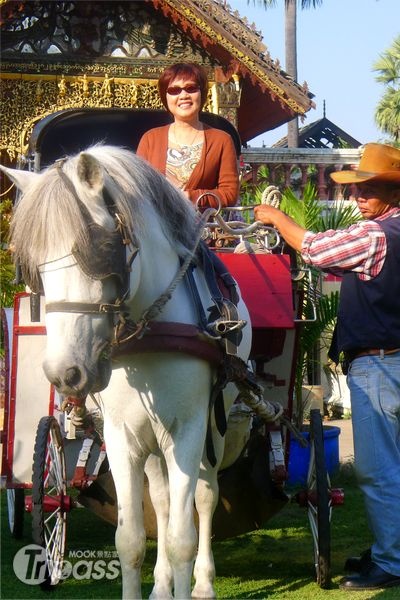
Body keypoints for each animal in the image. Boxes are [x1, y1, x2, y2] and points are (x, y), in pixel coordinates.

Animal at [3, 146, 252, 600]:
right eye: (35, 267)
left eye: (98, 254)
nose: (64, 372)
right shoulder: (122, 436)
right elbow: (131, 538)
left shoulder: (189, 429)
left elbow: (182, 537)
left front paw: (191, 581)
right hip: (150, 439)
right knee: (165, 499)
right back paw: (162, 585)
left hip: (216, 421)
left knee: (205, 496)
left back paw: (203, 583)